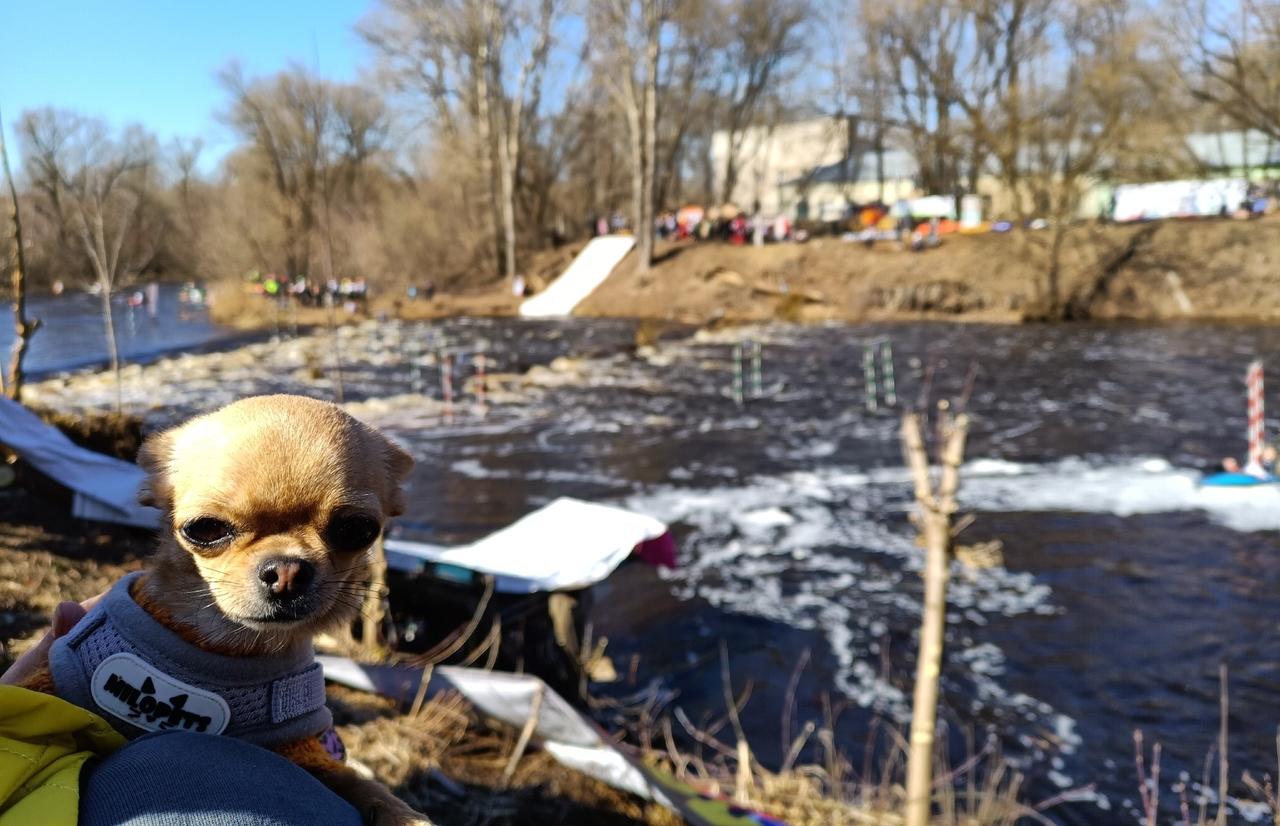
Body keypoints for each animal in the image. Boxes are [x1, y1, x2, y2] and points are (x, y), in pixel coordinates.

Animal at [21, 391, 430, 824]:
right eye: (206, 528)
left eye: (357, 529)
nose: (287, 571)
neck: (231, 645)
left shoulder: (303, 748)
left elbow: (357, 783)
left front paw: (401, 812)